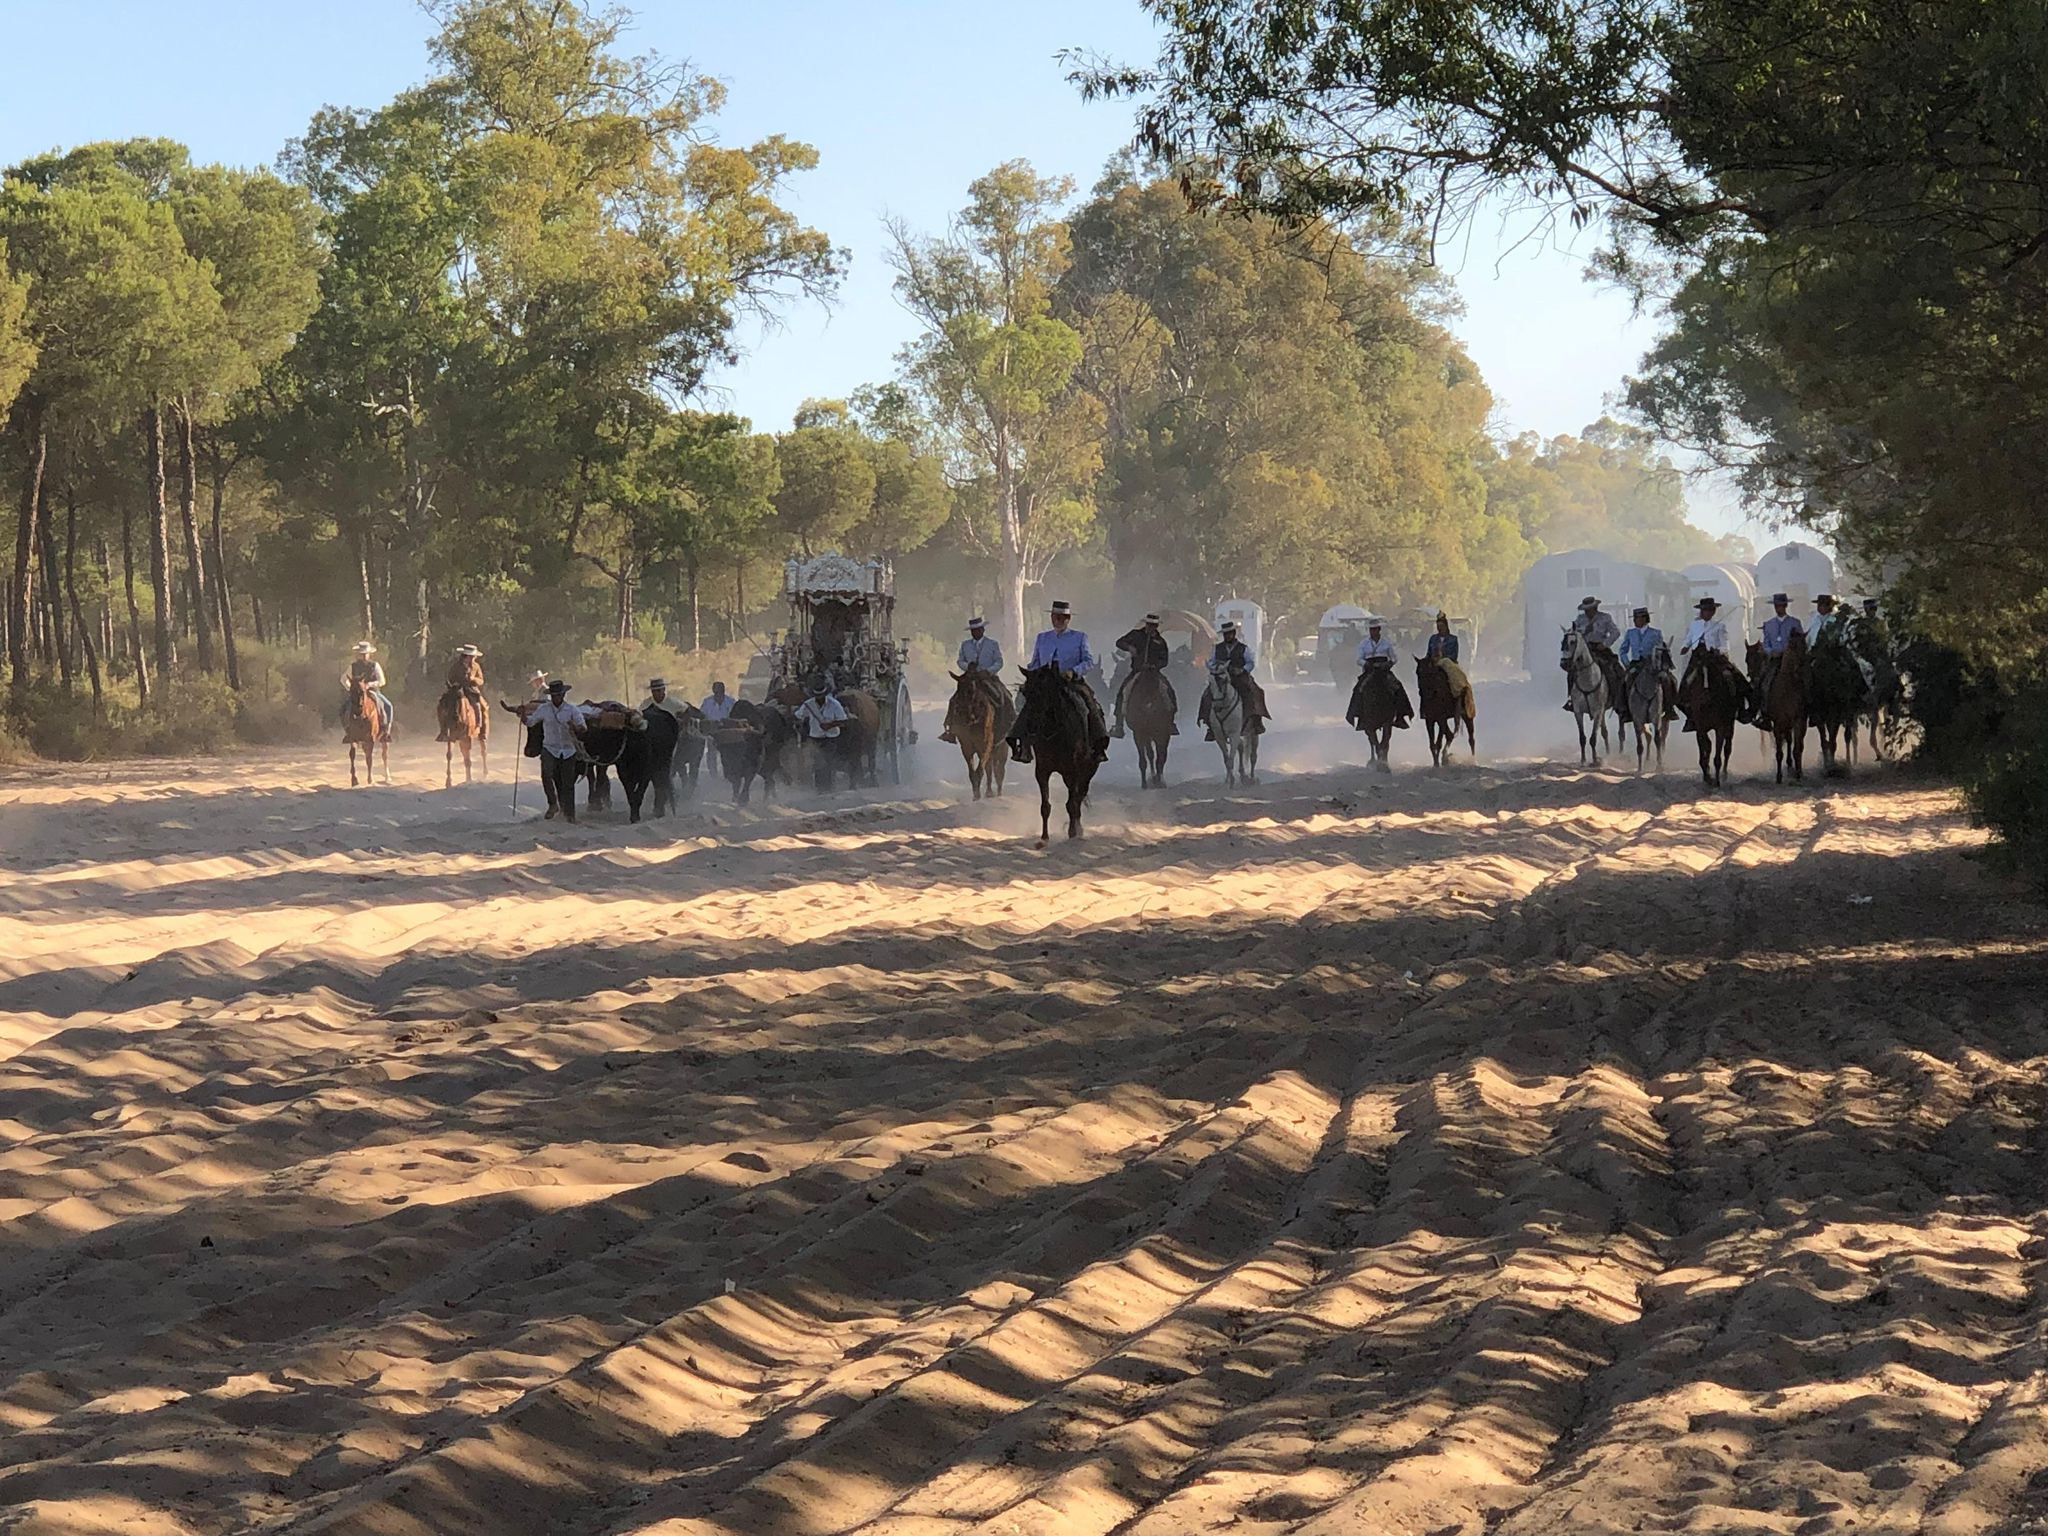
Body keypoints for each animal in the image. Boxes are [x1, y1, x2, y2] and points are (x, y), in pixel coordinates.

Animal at [942, 667, 1015, 798]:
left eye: (973, 690)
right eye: (958, 691)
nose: (966, 716)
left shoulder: (985, 744)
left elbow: (981, 770)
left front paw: (978, 795)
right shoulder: (966, 746)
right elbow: (973, 771)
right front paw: (976, 795)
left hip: (1001, 746)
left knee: (999, 770)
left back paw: (998, 792)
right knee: (990, 768)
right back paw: (989, 792)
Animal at [1011, 667, 1097, 847]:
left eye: (1042, 692)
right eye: (1025, 692)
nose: (1031, 726)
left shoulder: (1073, 771)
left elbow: (1072, 803)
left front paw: (1072, 833)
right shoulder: (1042, 770)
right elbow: (1045, 806)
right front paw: (1044, 838)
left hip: (1088, 771)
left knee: (1079, 796)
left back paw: (1078, 829)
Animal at [1556, 626, 1605, 770]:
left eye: (1573, 642)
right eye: (1562, 642)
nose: (1564, 664)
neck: (1588, 681)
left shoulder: (1598, 711)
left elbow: (1593, 738)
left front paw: (1595, 761)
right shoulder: (1578, 711)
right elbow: (1582, 738)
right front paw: (1583, 761)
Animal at [1744, 630, 1810, 786]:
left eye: (1805, 646)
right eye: (1792, 645)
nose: (1802, 667)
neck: (1787, 686)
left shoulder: (1799, 721)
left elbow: (1798, 748)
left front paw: (1798, 774)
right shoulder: (1778, 723)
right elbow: (1779, 751)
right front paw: (1779, 776)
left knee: (1791, 743)